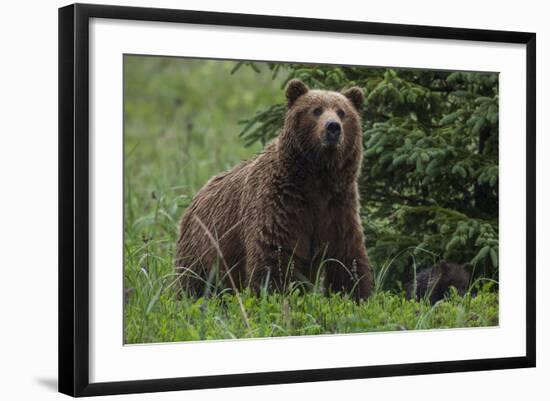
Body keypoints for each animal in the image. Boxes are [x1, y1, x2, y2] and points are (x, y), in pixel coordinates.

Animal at [177, 78, 376, 298]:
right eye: (316, 110)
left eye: (342, 112)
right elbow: (274, 254)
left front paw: (356, 294)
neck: (316, 177)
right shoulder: (281, 203)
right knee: (192, 279)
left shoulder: (338, 206)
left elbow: (347, 256)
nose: (333, 127)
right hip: (204, 244)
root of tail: (196, 195)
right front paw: (272, 292)